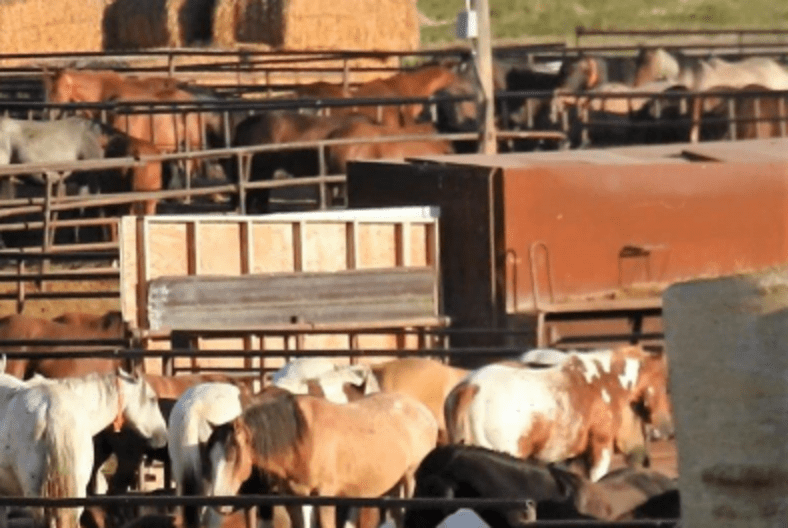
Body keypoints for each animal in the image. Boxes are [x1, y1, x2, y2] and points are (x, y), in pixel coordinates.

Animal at [205, 391, 438, 528]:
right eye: (210, 457)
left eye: (232, 454)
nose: (218, 501)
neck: (302, 439)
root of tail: (425, 412)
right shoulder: (292, 498)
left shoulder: (324, 496)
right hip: (393, 485)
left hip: (410, 480)